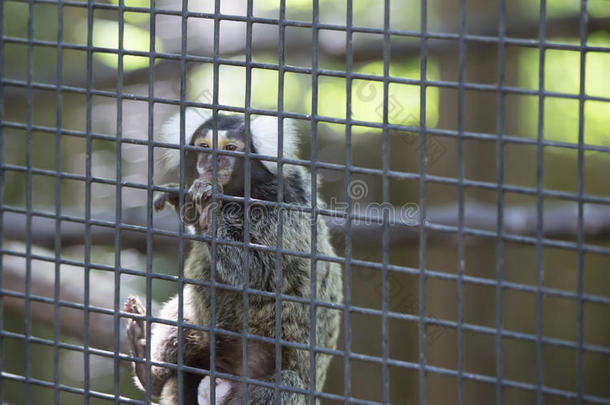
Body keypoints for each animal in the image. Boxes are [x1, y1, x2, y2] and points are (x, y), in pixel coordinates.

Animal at [123, 109, 342, 404]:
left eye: (229, 148)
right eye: (204, 146)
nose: (212, 161)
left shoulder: (279, 206)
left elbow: (259, 272)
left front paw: (209, 213)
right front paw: (192, 209)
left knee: (285, 385)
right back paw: (149, 371)